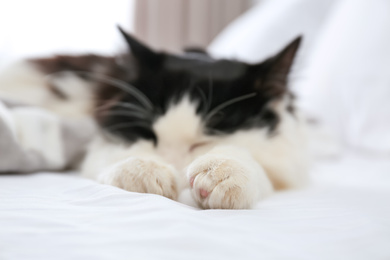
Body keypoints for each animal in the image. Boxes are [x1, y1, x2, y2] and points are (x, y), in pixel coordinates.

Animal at [1, 26, 310, 209]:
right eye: (149, 134)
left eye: (204, 141)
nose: (174, 166)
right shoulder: (103, 138)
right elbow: (117, 156)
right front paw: (146, 171)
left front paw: (226, 171)